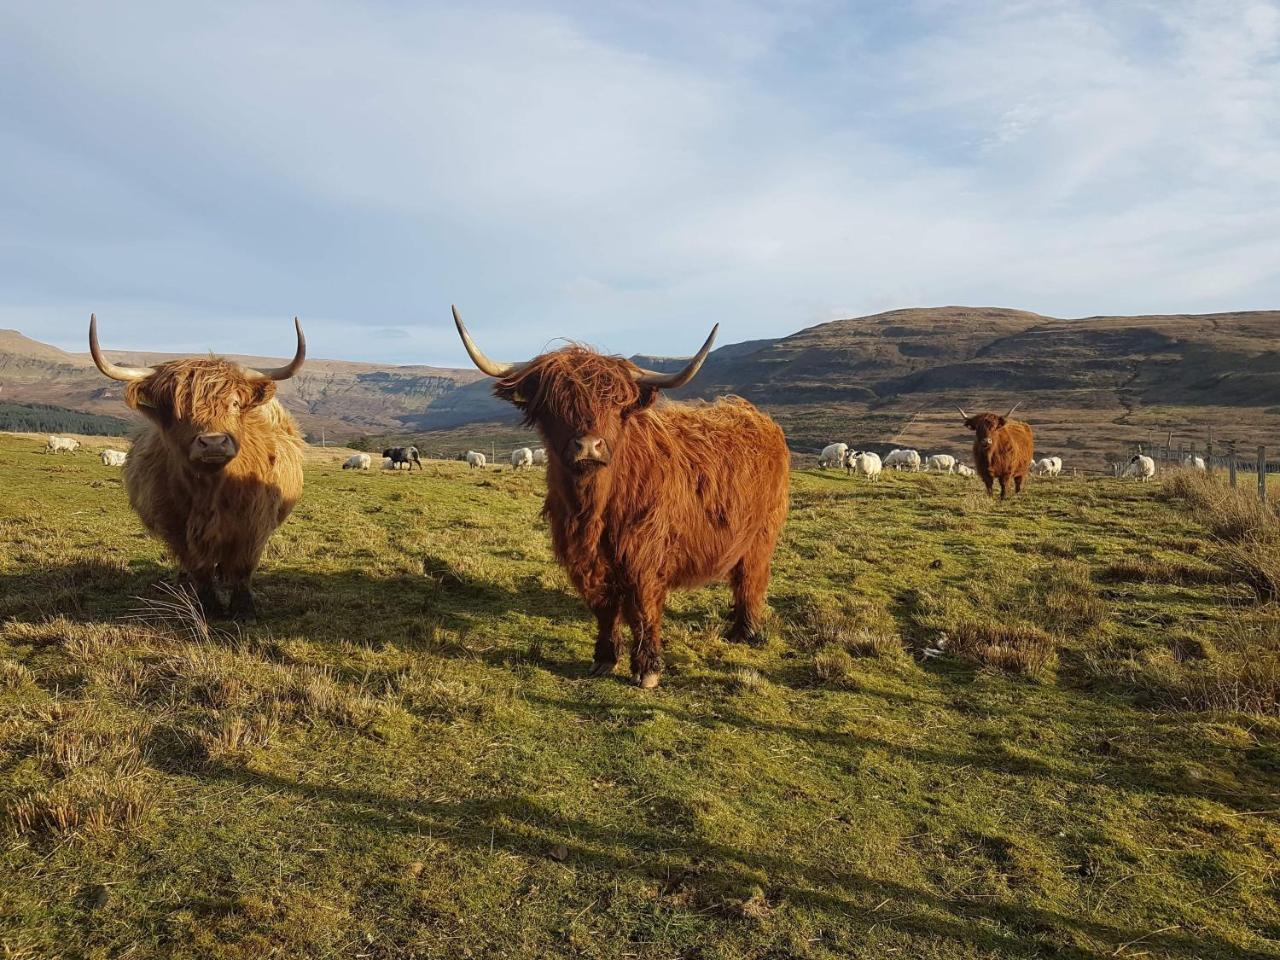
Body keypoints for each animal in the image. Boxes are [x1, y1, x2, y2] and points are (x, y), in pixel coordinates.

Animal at [450, 308, 788, 691]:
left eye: (615, 404)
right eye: (553, 405)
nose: (588, 446)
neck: (594, 509)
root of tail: (757, 417)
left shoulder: (645, 555)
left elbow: (643, 607)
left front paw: (648, 668)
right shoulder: (585, 559)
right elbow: (605, 607)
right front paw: (604, 657)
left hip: (762, 532)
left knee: (750, 578)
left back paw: (744, 631)